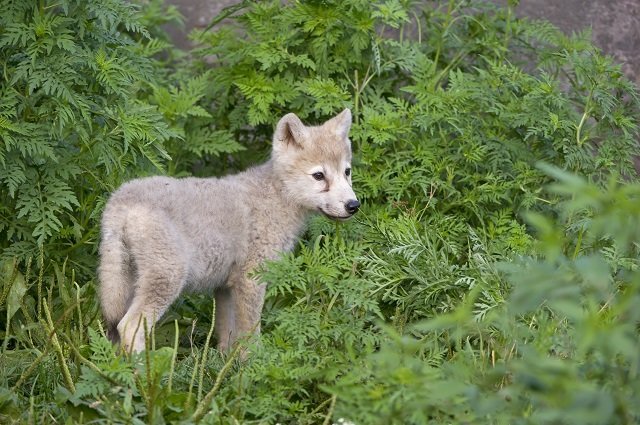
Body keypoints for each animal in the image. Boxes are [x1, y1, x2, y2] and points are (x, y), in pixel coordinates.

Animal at [98, 109, 359, 353]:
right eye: (319, 176)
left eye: (346, 172)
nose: (353, 205)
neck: (274, 198)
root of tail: (121, 200)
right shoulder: (251, 280)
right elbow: (250, 338)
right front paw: (254, 365)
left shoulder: (225, 287)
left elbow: (227, 339)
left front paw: (224, 367)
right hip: (167, 279)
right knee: (128, 327)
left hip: (126, 286)